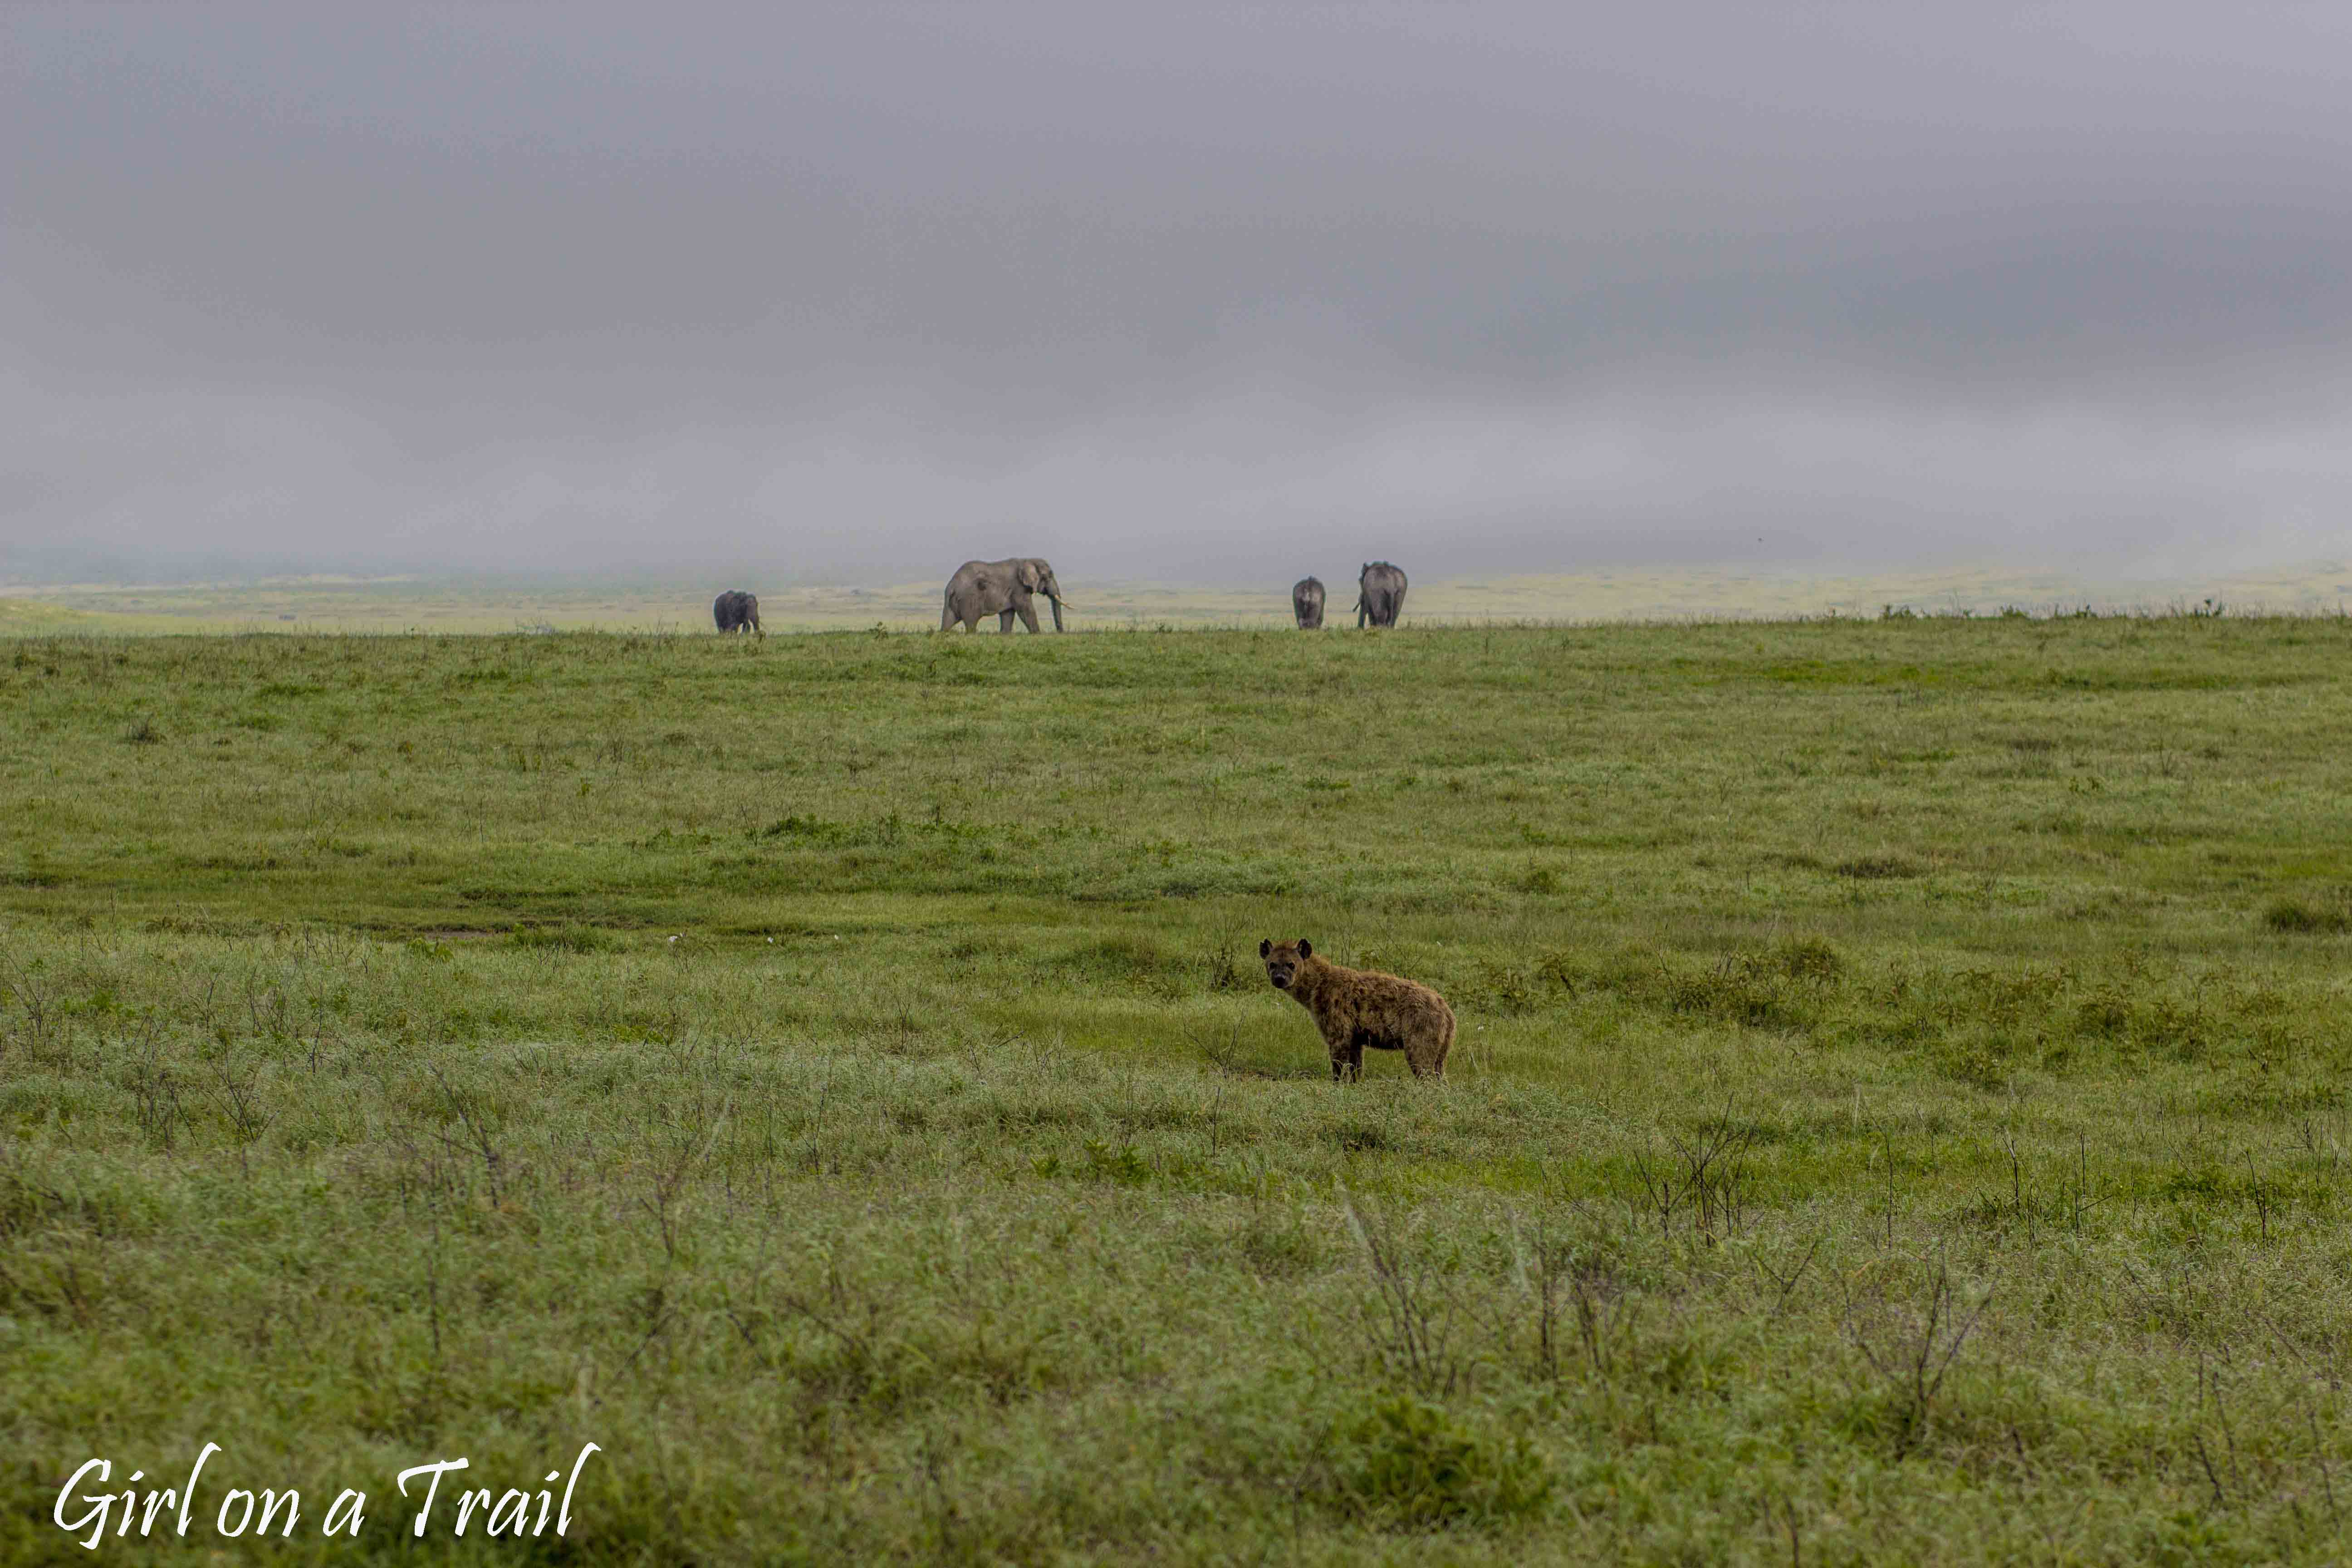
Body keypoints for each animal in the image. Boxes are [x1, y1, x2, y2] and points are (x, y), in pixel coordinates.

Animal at [945, 557, 1077, 630]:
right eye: (1047, 576)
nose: (1060, 632)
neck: (1027, 560)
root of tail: (952, 585)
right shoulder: (1018, 587)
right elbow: (1026, 610)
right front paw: (1038, 635)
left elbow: (1008, 614)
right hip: (969, 599)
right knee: (971, 623)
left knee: (948, 623)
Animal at [1354, 562, 1401, 630]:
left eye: (1360, 580)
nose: (1359, 628)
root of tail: (1391, 586)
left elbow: (1368, 608)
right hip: (1401, 591)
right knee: (1395, 615)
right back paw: (1390, 629)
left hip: (1377, 592)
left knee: (1380, 614)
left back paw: (1380, 629)